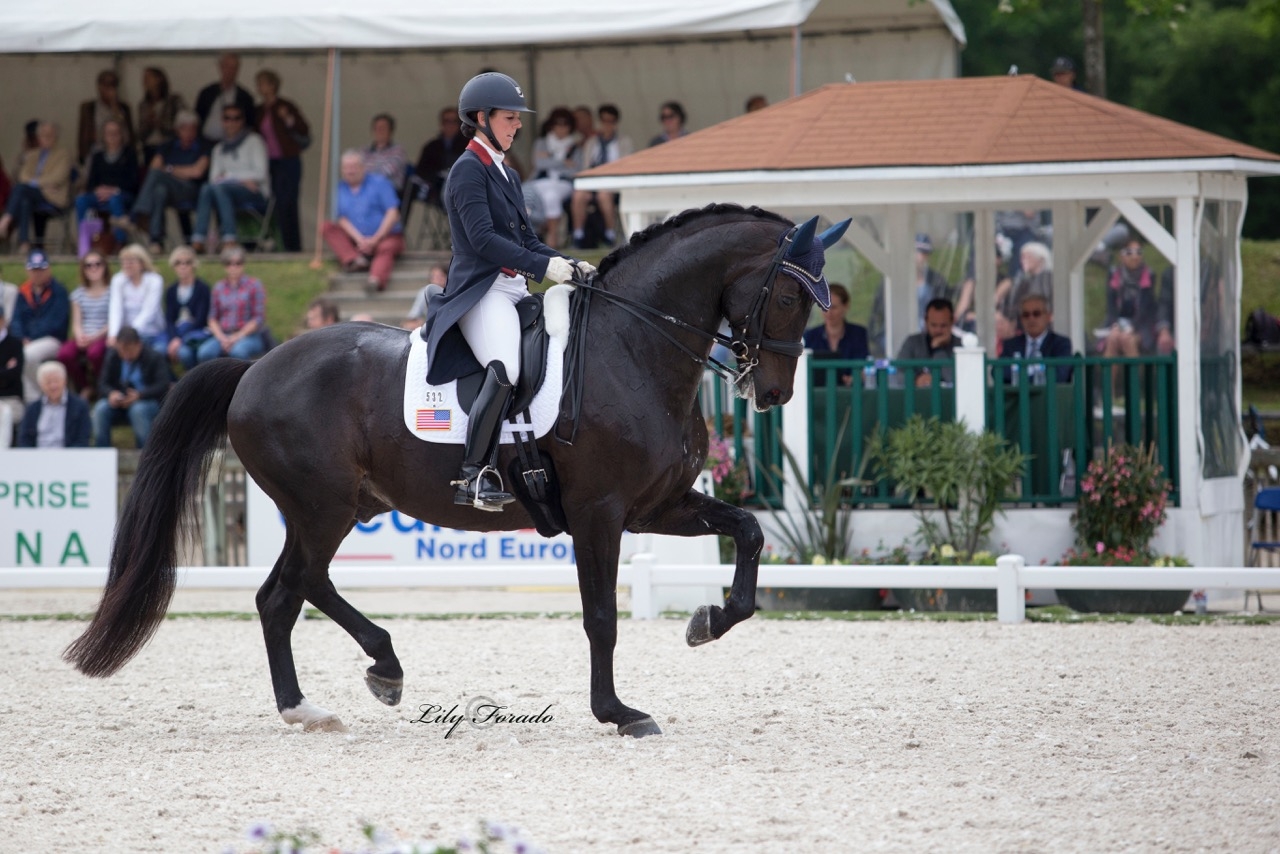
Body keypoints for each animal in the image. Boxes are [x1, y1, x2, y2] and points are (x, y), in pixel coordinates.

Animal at [67, 203, 849, 737]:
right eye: (787, 295)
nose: (772, 394)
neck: (634, 344)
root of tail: (253, 367)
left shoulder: (657, 505)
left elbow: (748, 531)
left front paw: (707, 621)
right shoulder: (599, 513)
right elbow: (600, 616)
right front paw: (618, 711)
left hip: (336, 507)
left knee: (285, 592)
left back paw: (340, 690)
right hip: (322, 507)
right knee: (292, 589)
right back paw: (349, 685)